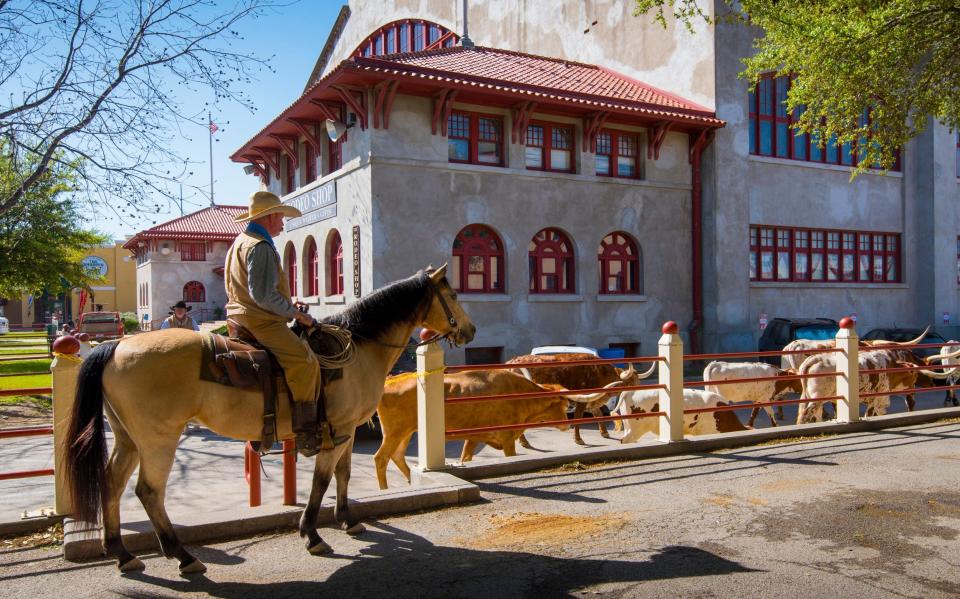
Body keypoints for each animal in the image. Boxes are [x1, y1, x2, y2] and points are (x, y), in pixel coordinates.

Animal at [63, 266, 476, 572]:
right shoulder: (338, 432)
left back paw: (123, 554)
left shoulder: (345, 431)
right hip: (158, 440)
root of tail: (116, 346)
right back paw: (182, 556)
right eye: (454, 295)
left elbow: (342, 476)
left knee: (112, 484)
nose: (470, 330)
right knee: (148, 492)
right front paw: (312, 535)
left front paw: (348, 520)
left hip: (127, 437)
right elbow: (322, 481)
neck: (359, 348)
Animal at [374, 370, 568, 488]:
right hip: (395, 431)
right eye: (564, 405)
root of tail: (390, 380)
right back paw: (384, 489)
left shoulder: (474, 436)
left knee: (397, 455)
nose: (567, 423)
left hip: (405, 432)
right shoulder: (507, 438)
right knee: (381, 458)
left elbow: (465, 457)